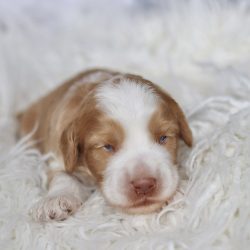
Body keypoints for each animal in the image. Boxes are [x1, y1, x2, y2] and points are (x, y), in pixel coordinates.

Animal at [18, 68, 193, 221]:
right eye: (107, 146)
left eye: (163, 137)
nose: (144, 185)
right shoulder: (57, 154)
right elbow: (63, 176)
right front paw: (54, 200)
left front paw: (177, 191)